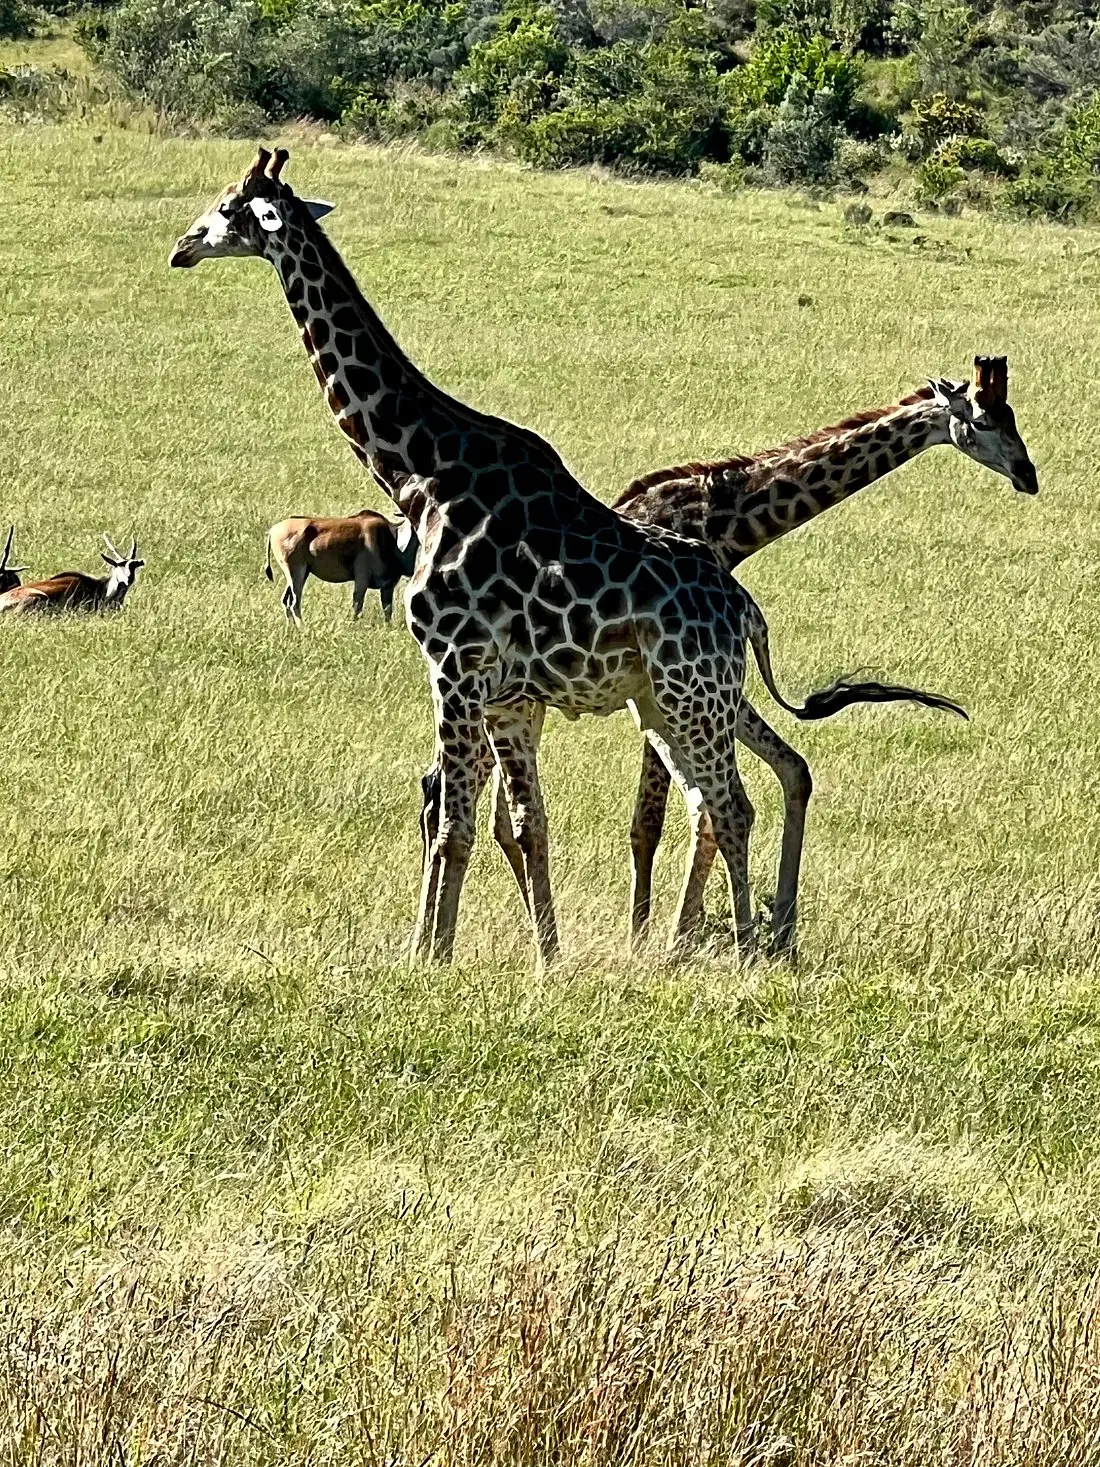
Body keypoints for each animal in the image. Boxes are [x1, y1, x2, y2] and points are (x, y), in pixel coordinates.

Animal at [265, 507, 419, 622]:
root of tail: (273, 530)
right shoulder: (362, 579)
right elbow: (357, 605)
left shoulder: (387, 587)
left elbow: (387, 611)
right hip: (295, 571)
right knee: (294, 603)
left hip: (302, 573)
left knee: (286, 600)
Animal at [451, 355, 1038, 950]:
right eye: (983, 421)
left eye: (1012, 415)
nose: (1029, 475)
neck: (728, 519)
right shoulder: (672, 674)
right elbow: (654, 820)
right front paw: (652, 937)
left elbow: (716, 800)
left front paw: (690, 934)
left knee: (491, 809)